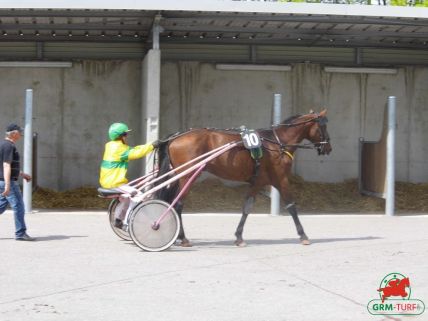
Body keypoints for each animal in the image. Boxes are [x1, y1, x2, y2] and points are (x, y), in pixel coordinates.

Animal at [155, 109, 332, 246]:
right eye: (323, 126)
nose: (328, 147)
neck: (277, 143)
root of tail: (175, 137)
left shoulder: (258, 181)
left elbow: (246, 208)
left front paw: (239, 236)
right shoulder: (280, 179)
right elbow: (291, 206)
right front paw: (303, 235)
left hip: (179, 177)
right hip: (188, 176)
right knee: (178, 204)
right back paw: (182, 238)